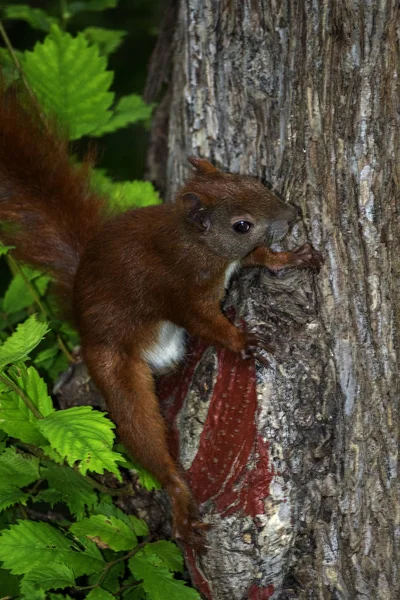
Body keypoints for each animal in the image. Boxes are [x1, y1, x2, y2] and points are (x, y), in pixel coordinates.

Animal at [0, 86, 322, 552]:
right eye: (242, 224)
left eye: (257, 182)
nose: (293, 215)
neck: (194, 244)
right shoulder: (177, 292)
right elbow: (208, 322)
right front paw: (241, 342)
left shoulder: (233, 263)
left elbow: (261, 259)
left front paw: (290, 258)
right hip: (115, 369)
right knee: (143, 434)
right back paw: (178, 496)